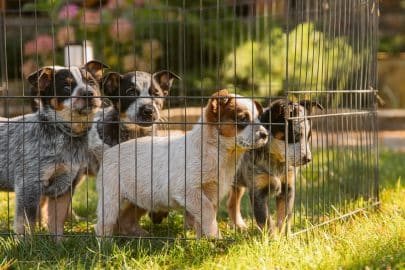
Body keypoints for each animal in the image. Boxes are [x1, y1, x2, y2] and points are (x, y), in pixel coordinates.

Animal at [0, 60, 108, 237]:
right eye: (66, 87)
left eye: (91, 83)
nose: (88, 93)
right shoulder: (29, 184)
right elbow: (26, 224)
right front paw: (27, 243)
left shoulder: (64, 186)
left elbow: (56, 222)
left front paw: (58, 242)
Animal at [95, 89, 268, 237]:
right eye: (243, 119)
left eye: (259, 119)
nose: (265, 134)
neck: (219, 153)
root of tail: (108, 153)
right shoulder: (189, 191)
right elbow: (208, 214)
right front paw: (216, 238)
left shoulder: (211, 193)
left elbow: (203, 219)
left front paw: (203, 241)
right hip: (111, 199)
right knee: (103, 224)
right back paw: (105, 245)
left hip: (138, 200)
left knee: (126, 220)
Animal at [227, 98, 322, 234]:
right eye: (295, 136)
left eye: (309, 137)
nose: (308, 159)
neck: (276, 162)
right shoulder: (258, 191)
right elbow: (266, 221)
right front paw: (273, 238)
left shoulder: (288, 187)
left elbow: (284, 217)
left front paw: (284, 236)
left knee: (231, 203)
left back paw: (240, 226)